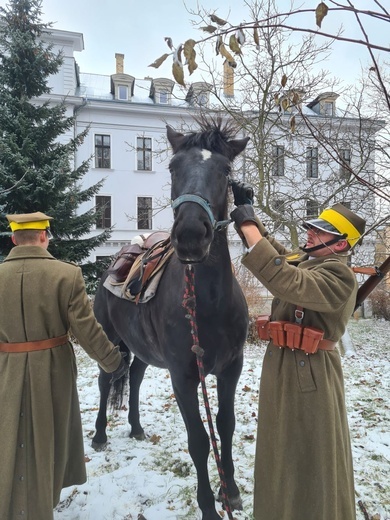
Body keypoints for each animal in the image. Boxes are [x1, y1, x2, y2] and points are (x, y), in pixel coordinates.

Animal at [93, 118, 248, 520]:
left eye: (225, 171)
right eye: (173, 167)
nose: (192, 234)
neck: (208, 302)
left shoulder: (231, 369)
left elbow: (225, 425)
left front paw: (231, 491)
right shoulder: (183, 377)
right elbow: (199, 440)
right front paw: (208, 505)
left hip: (143, 350)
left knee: (134, 376)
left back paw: (135, 428)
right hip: (110, 340)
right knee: (105, 382)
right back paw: (99, 435)